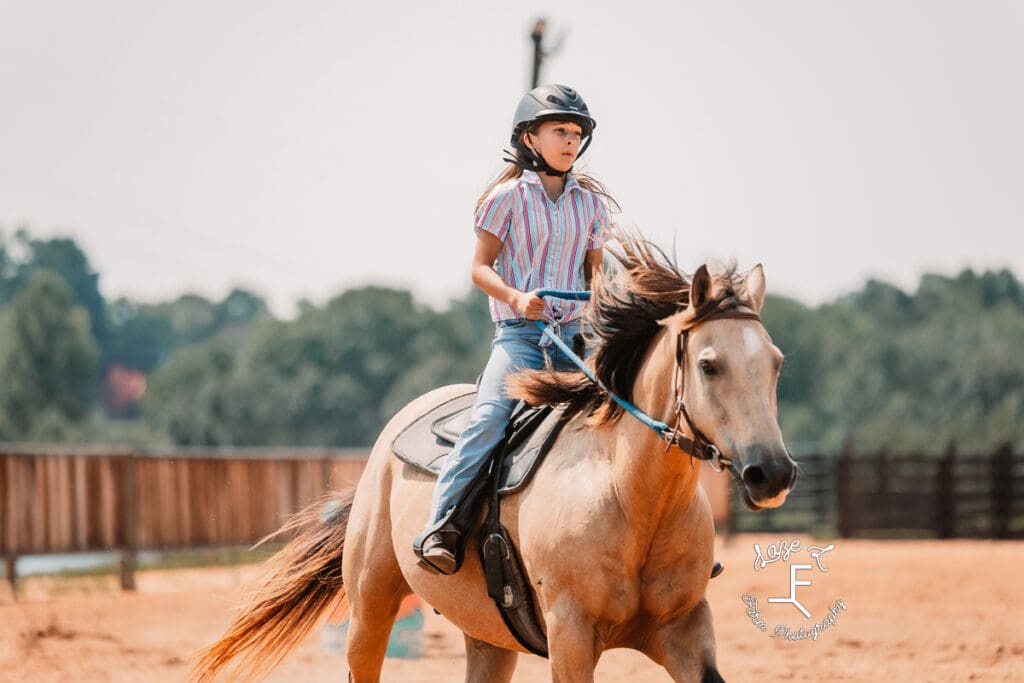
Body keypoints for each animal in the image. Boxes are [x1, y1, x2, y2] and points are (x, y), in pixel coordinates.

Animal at [193, 236, 798, 683]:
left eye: (776, 363)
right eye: (709, 365)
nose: (772, 472)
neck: (629, 498)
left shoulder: (686, 629)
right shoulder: (570, 635)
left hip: (488, 636)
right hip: (369, 606)